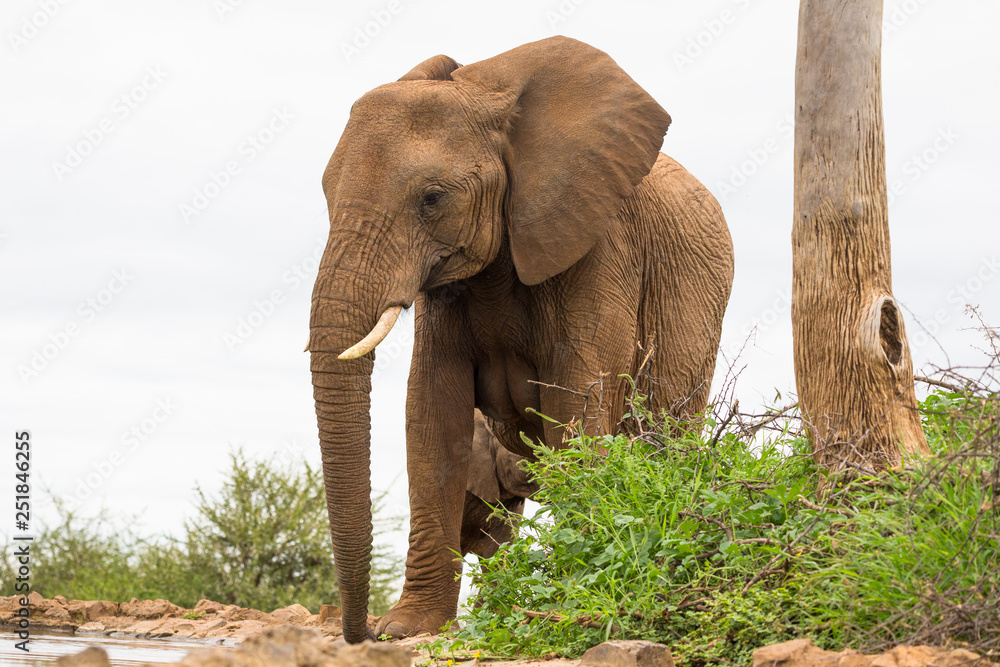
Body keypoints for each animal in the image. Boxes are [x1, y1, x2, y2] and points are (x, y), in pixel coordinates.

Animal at [307, 36, 734, 643]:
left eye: (432, 198)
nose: (359, 633)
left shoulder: (599, 245)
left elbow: (577, 403)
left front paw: (572, 593)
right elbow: (431, 413)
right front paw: (409, 628)